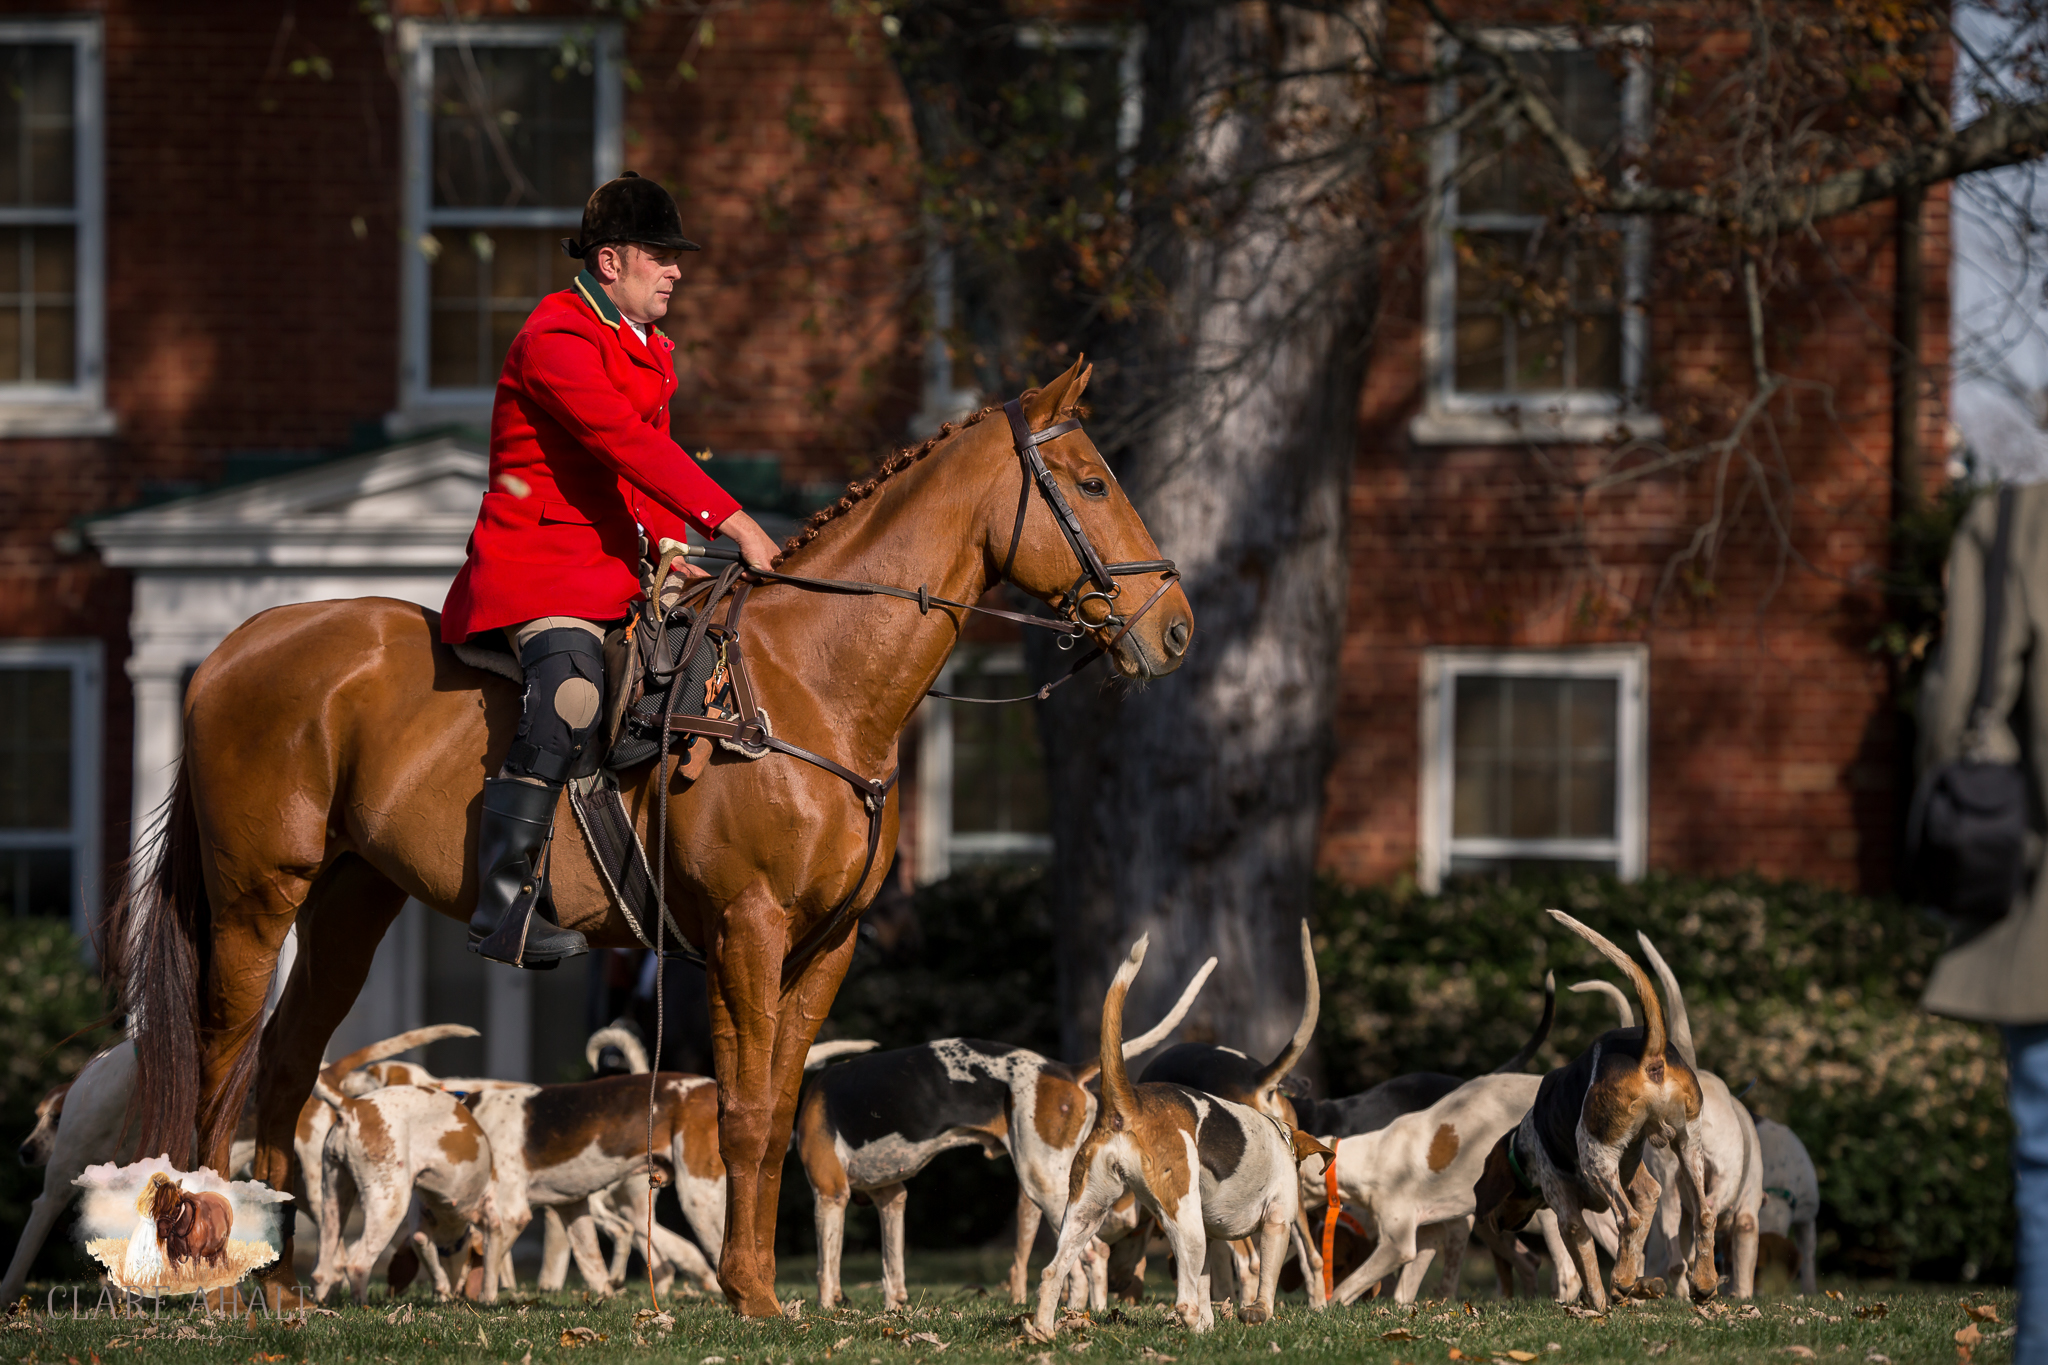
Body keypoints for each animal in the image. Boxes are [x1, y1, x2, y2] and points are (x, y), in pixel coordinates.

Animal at [112, 360, 1196, 1309]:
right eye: (1092, 481)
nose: (1176, 628)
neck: (811, 682)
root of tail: (237, 644)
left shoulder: (821, 947)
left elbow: (770, 1108)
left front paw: (751, 1285)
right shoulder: (747, 933)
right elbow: (747, 1112)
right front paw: (750, 1292)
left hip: (346, 910)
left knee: (287, 1069)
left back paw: (277, 1288)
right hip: (257, 903)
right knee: (221, 1063)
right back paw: (216, 1279)